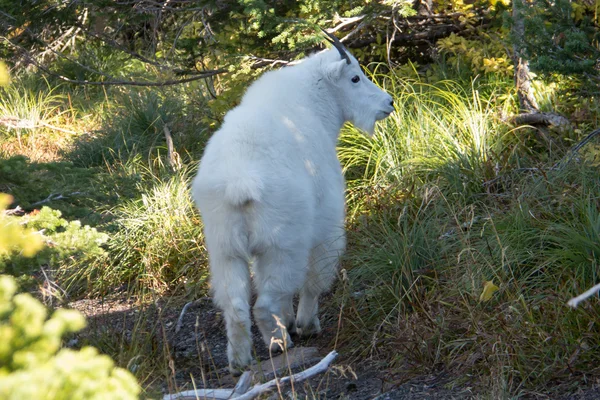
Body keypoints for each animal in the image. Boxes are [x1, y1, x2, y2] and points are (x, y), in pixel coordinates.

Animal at [191, 32, 394, 376]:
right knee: (265, 302)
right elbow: (314, 280)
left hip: (224, 246)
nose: (388, 103)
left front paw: (289, 320)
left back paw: (239, 361)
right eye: (354, 78)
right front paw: (305, 324)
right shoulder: (325, 224)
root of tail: (239, 181)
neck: (311, 103)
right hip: (282, 242)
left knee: (235, 304)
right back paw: (280, 342)